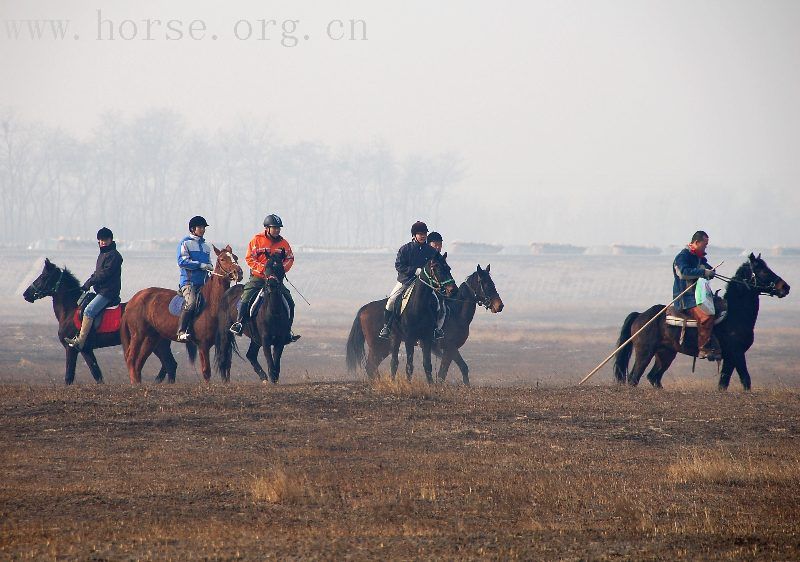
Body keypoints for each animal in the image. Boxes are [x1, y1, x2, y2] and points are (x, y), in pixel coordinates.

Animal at [22, 260, 177, 384]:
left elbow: (69, 376)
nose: (26, 294)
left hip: (157, 344)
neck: (71, 309)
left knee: (170, 365)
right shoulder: (86, 350)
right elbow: (97, 374)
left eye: (44, 276)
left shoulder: (71, 348)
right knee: (168, 365)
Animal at [119, 243, 241, 382]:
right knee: (131, 358)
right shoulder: (203, 345)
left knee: (139, 362)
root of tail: (133, 300)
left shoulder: (224, 343)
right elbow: (206, 372)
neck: (211, 306)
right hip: (138, 335)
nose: (239, 272)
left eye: (235, 257)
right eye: (222, 259)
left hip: (151, 338)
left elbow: (226, 370)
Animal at [346, 262, 504, 384]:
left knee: (371, 367)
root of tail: (364, 309)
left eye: (493, 283)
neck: (456, 312)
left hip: (384, 348)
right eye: (485, 284)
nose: (499, 306)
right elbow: (444, 372)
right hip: (379, 346)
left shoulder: (449, 349)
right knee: (371, 366)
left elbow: (461, 368)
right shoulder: (449, 347)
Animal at [616, 254, 792, 390]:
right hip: (645, 353)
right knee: (634, 378)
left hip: (666, 353)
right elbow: (746, 380)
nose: (785, 287)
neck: (735, 314)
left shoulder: (730, 357)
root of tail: (640, 315)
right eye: (763, 270)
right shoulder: (737, 353)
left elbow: (723, 384)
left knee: (654, 377)